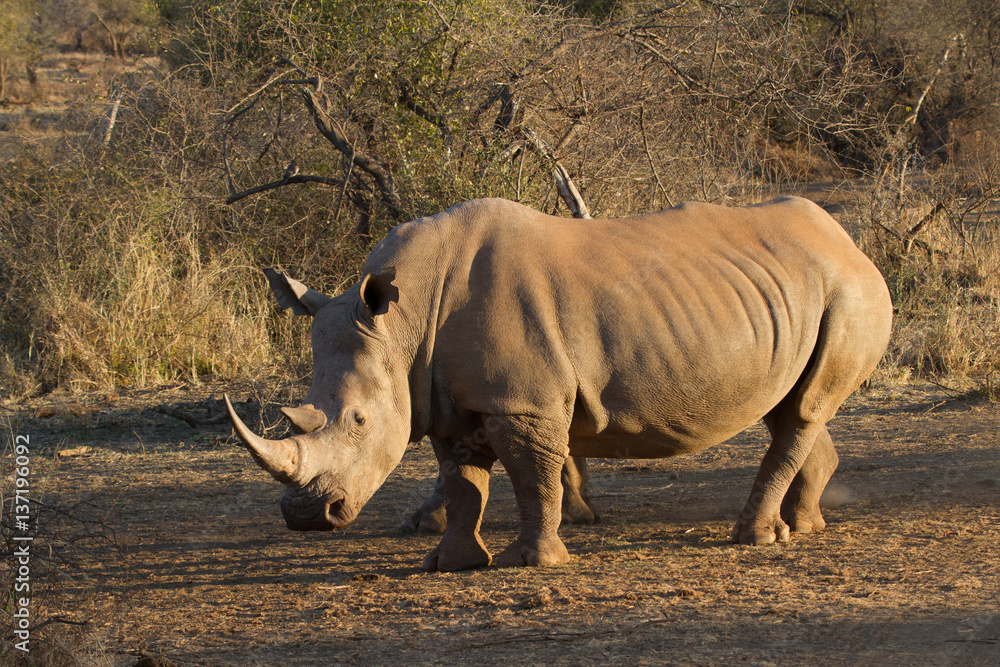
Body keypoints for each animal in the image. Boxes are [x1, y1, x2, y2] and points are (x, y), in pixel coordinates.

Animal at [226, 197, 892, 571]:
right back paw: (805, 526)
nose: (306, 518)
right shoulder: (445, 399)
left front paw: (532, 563)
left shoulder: (521, 402)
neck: (407, 321)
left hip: (850, 291)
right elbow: (463, 483)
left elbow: (531, 477)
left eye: (359, 421)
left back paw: (755, 540)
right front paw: (449, 564)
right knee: (795, 407)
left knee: (801, 411)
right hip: (794, 295)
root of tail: (849, 241)